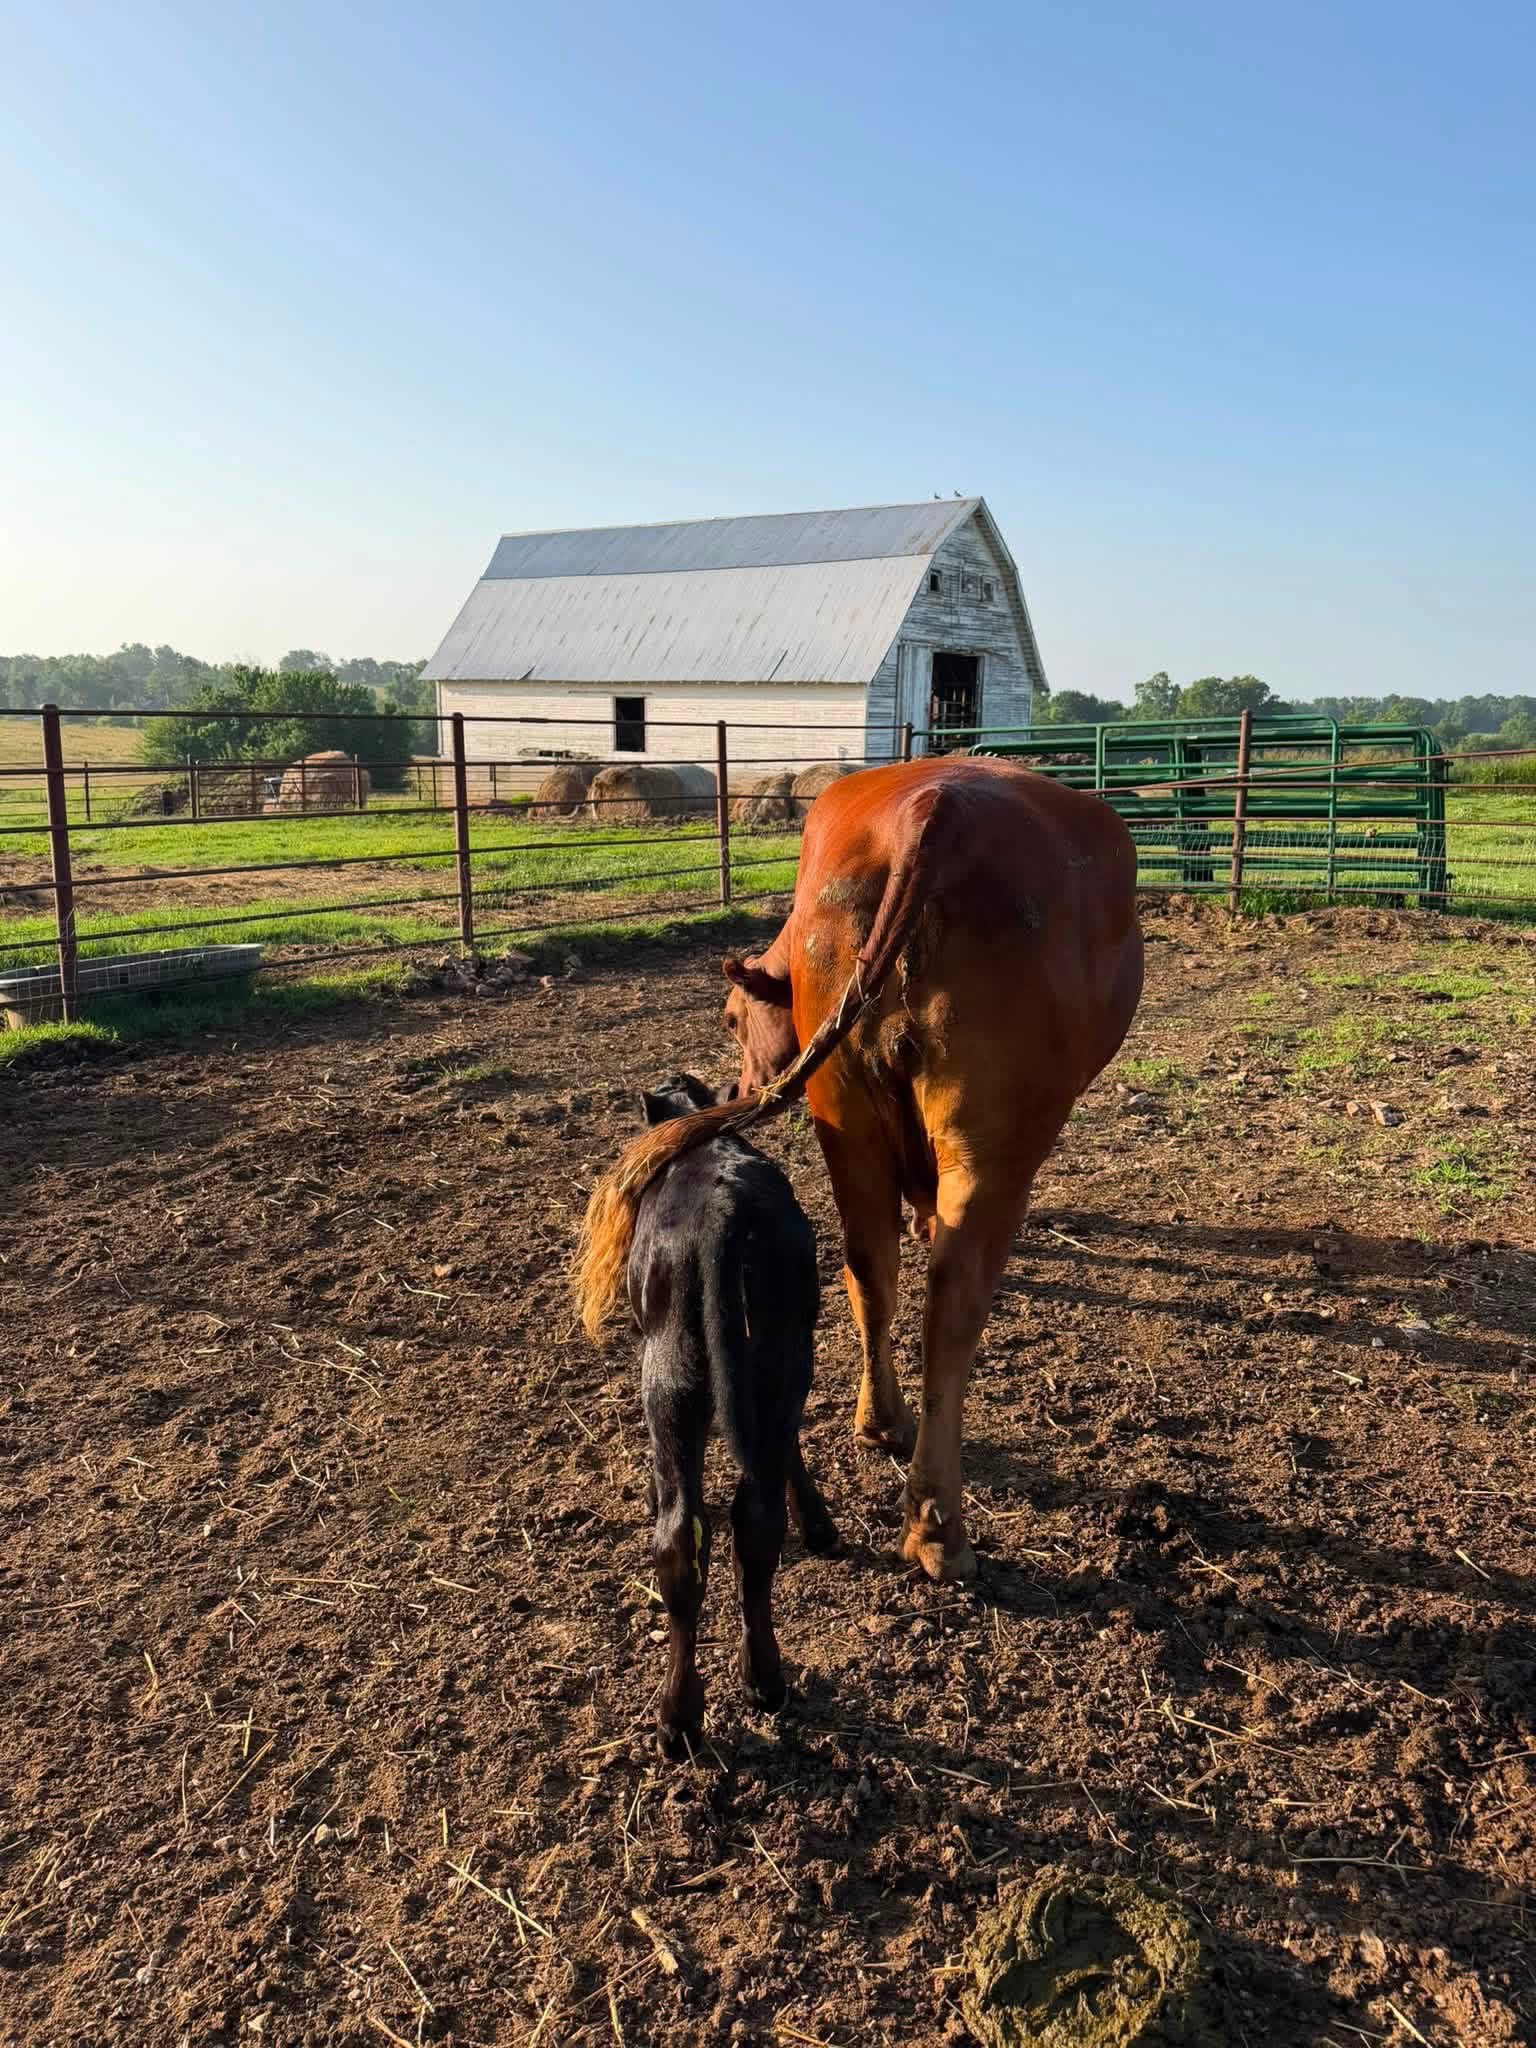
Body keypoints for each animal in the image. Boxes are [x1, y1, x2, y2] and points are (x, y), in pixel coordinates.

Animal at [577, 756, 1143, 1585]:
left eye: (731, 1019)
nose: (743, 1084)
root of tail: (935, 807)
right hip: (991, 1144)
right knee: (953, 1304)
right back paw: (939, 1524)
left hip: (846, 1117)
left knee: (869, 1266)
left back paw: (882, 1424)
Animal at [627, 1074, 839, 1757]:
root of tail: (723, 1215)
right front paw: (820, 1525)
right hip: (776, 1363)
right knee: (752, 1521)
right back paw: (752, 1684)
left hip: (669, 1376)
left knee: (684, 1534)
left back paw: (686, 1713)